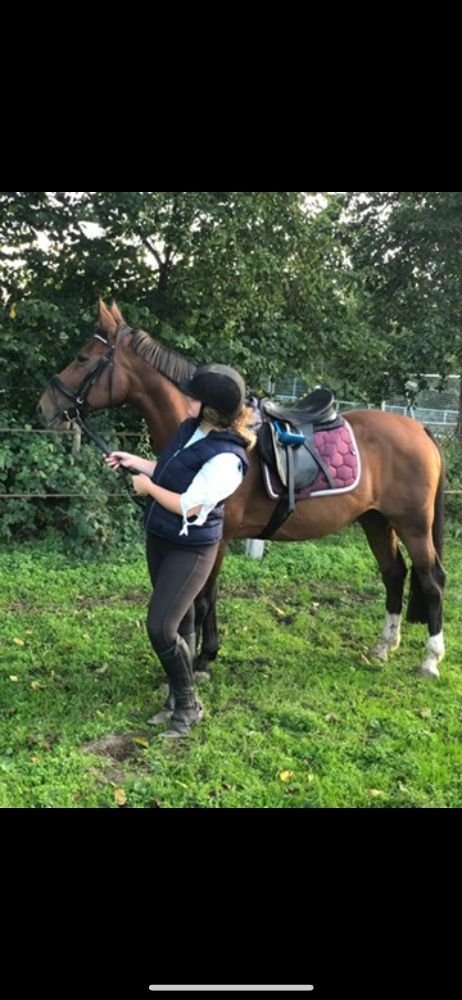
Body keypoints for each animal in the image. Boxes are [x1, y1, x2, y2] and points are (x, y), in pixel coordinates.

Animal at [37, 299, 446, 679]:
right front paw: (202, 654)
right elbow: (202, 598)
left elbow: (204, 598)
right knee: (394, 574)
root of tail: (420, 430)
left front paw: (202, 659)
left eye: (82, 357)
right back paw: (383, 647)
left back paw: (430, 660)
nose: (44, 407)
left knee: (432, 580)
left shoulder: (215, 537)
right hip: (375, 520)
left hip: (412, 523)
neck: (212, 429)